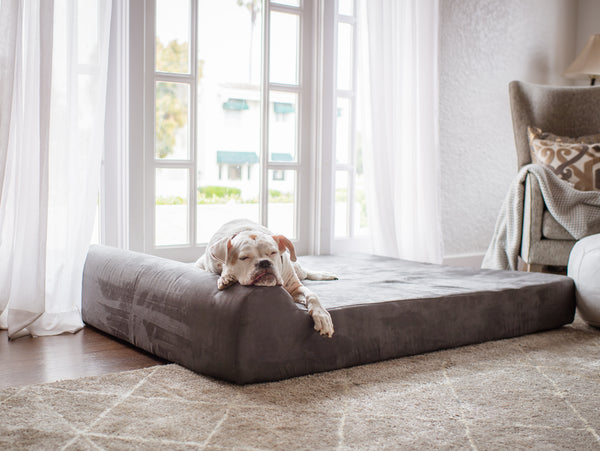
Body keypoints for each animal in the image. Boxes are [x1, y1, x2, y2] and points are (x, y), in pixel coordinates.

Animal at [197, 219, 338, 340]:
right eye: (244, 258)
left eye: (273, 253)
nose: (264, 262)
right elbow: (224, 267)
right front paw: (226, 277)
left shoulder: (295, 287)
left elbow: (312, 295)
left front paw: (322, 316)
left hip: (297, 269)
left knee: (306, 272)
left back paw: (325, 275)